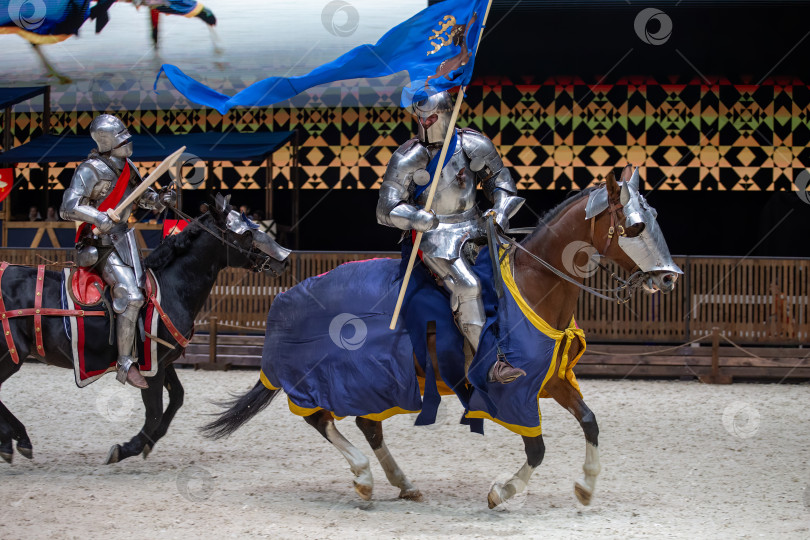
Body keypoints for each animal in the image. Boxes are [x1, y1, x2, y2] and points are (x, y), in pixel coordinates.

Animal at [0, 197, 288, 464]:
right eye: (247, 233)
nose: (284, 257)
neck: (172, 286)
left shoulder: (160, 362)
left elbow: (176, 399)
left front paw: (146, 443)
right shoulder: (153, 368)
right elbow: (155, 412)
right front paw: (126, 448)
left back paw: (13, 440)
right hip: (10, 355)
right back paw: (16, 439)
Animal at [200, 166, 676, 510]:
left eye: (655, 219)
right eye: (635, 227)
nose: (670, 277)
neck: (533, 284)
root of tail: (291, 296)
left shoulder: (553, 379)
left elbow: (590, 421)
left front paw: (586, 486)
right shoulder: (515, 393)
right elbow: (537, 449)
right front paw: (501, 492)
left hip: (381, 380)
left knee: (366, 425)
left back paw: (402, 482)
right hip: (334, 377)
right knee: (321, 419)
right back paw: (364, 478)